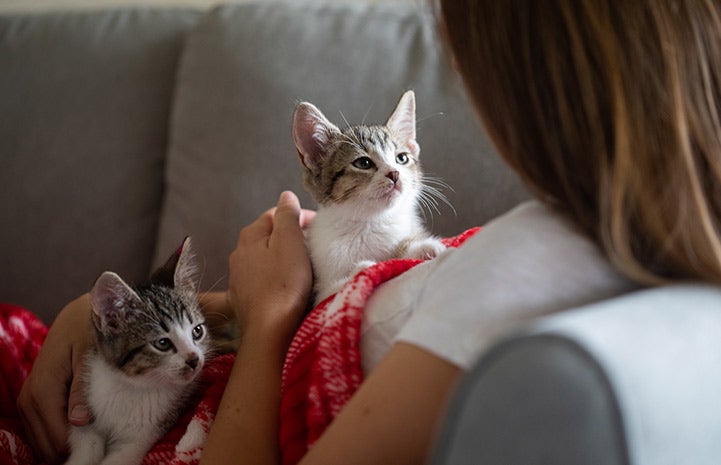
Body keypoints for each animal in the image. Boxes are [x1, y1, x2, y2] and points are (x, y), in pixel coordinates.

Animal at [65, 237, 208, 464]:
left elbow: (119, 458)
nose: (194, 359)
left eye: (197, 331)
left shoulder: (141, 439)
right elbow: (87, 444)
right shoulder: (86, 413)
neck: (132, 387)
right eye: (162, 343)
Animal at [292, 89, 444, 304]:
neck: (370, 223)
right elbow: (330, 292)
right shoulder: (318, 292)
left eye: (401, 158)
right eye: (363, 163)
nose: (394, 174)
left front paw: (423, 248)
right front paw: (362, 270)